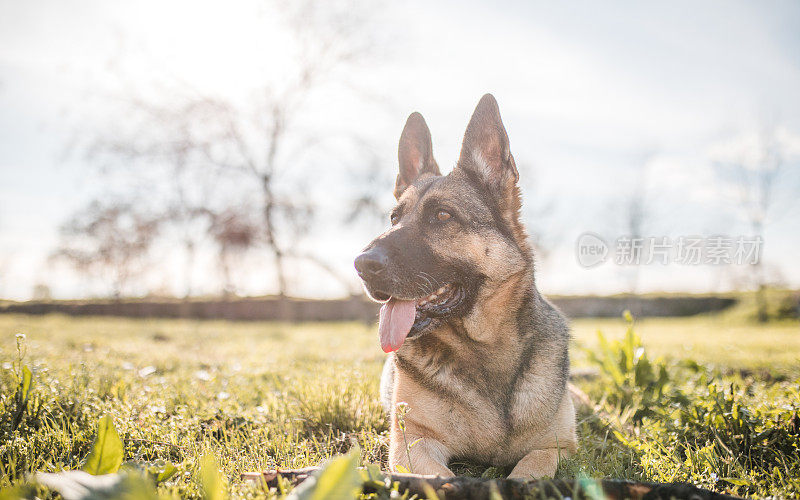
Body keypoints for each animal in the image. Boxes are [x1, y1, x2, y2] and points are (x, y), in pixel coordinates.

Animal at [354, 94, 576, 480]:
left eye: (442, 216)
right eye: (394, 218)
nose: (362, 264)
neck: (483, 348)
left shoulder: (556, 448)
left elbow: (528, 473)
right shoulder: (413, 445)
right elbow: (442, 481)